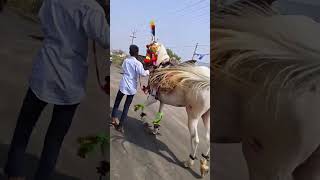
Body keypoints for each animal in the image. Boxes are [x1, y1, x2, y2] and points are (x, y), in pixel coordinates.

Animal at [134, 41, 211, 176]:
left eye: (148, 50)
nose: (144, 62)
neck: (162, 68)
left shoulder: (152, 97)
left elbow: (143, 107)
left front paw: (145, 122)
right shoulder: (162, 101)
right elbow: (159, 115)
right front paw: (154, 129)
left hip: (193, 116)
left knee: (195, 140)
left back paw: (189, 162)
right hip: (206, 115)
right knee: (208, 139)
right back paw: (204, 165)